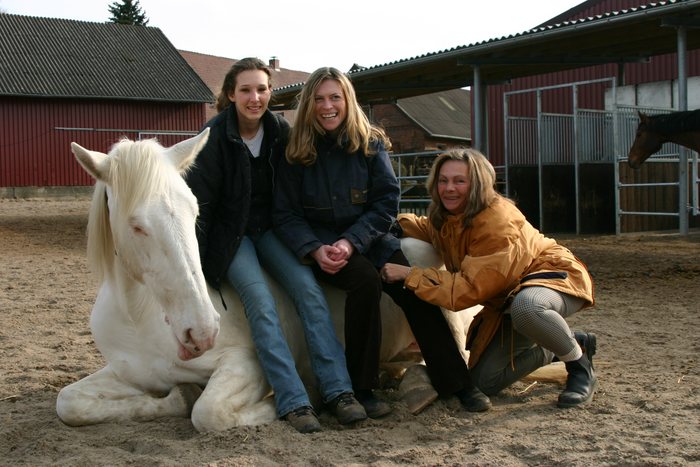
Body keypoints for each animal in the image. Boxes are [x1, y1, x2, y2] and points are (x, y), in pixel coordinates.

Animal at [56, 131, 482, 432]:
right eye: (137, 225)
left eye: (194, 211)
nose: (202, 331)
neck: (140, 315)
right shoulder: (127, 371)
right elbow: (69, 403)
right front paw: (177, 396)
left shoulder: (246, 364)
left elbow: (208, 412)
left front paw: (296, 401)